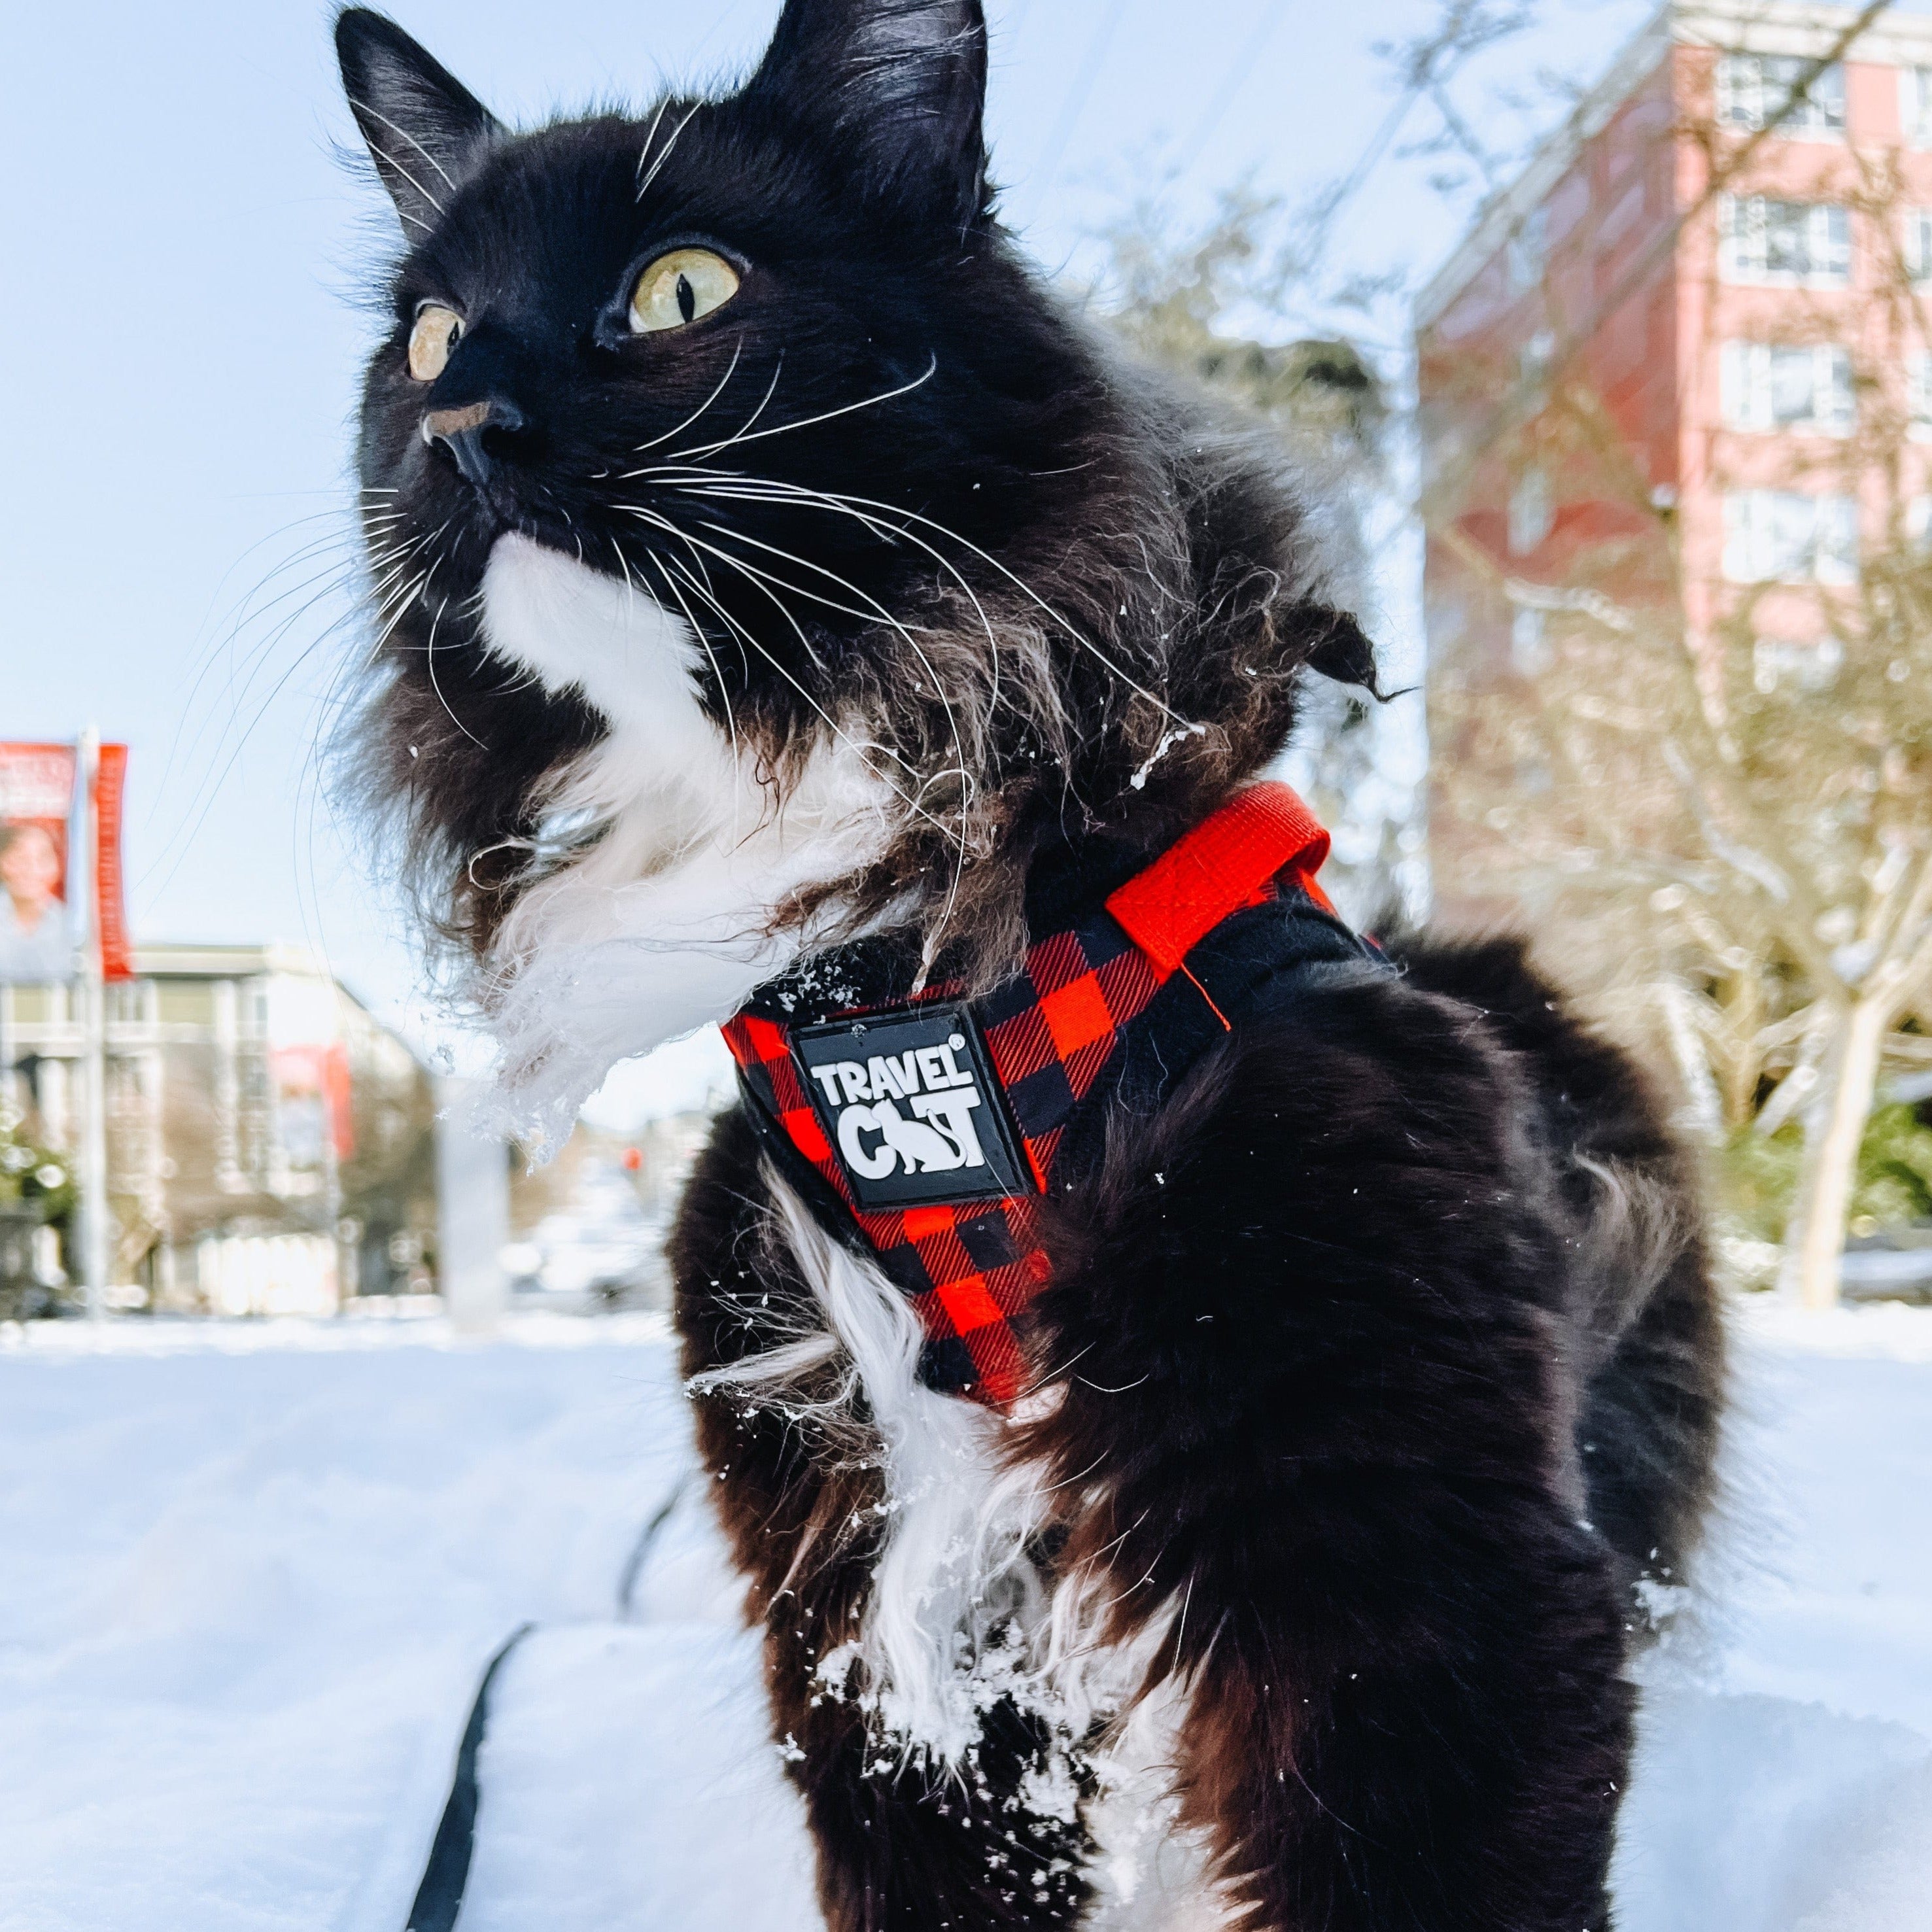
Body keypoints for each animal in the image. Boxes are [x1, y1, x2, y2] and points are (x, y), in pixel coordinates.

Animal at [336, 7, 1738, 1924]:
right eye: (425, 340)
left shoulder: (1403, 1551)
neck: (915, 996)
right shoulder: (854, 1563)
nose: (465, 423)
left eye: (681, 287)